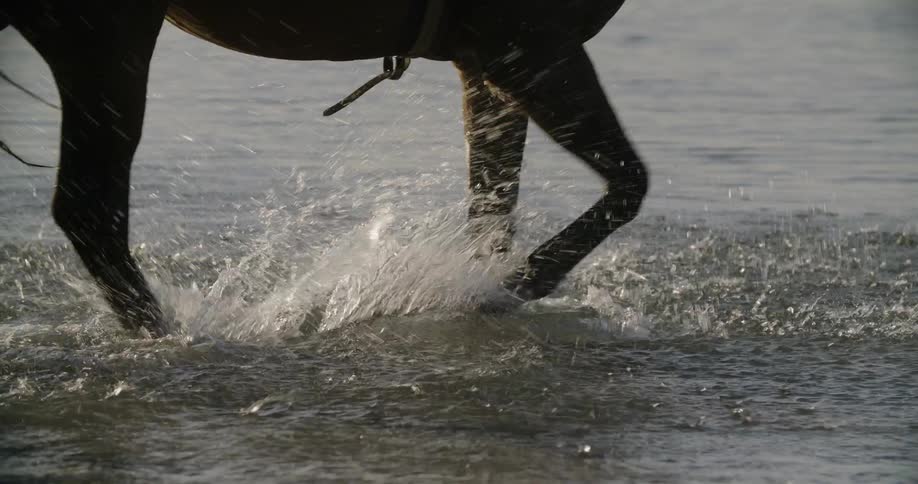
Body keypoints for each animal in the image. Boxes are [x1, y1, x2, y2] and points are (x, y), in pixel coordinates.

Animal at [2, 1, 648, 337]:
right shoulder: (528, 43)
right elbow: (628, 184)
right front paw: (506, 289)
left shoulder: (490, 60)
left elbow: (492, 214)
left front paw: (477, 288)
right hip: (108, 37)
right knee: (90, 209)